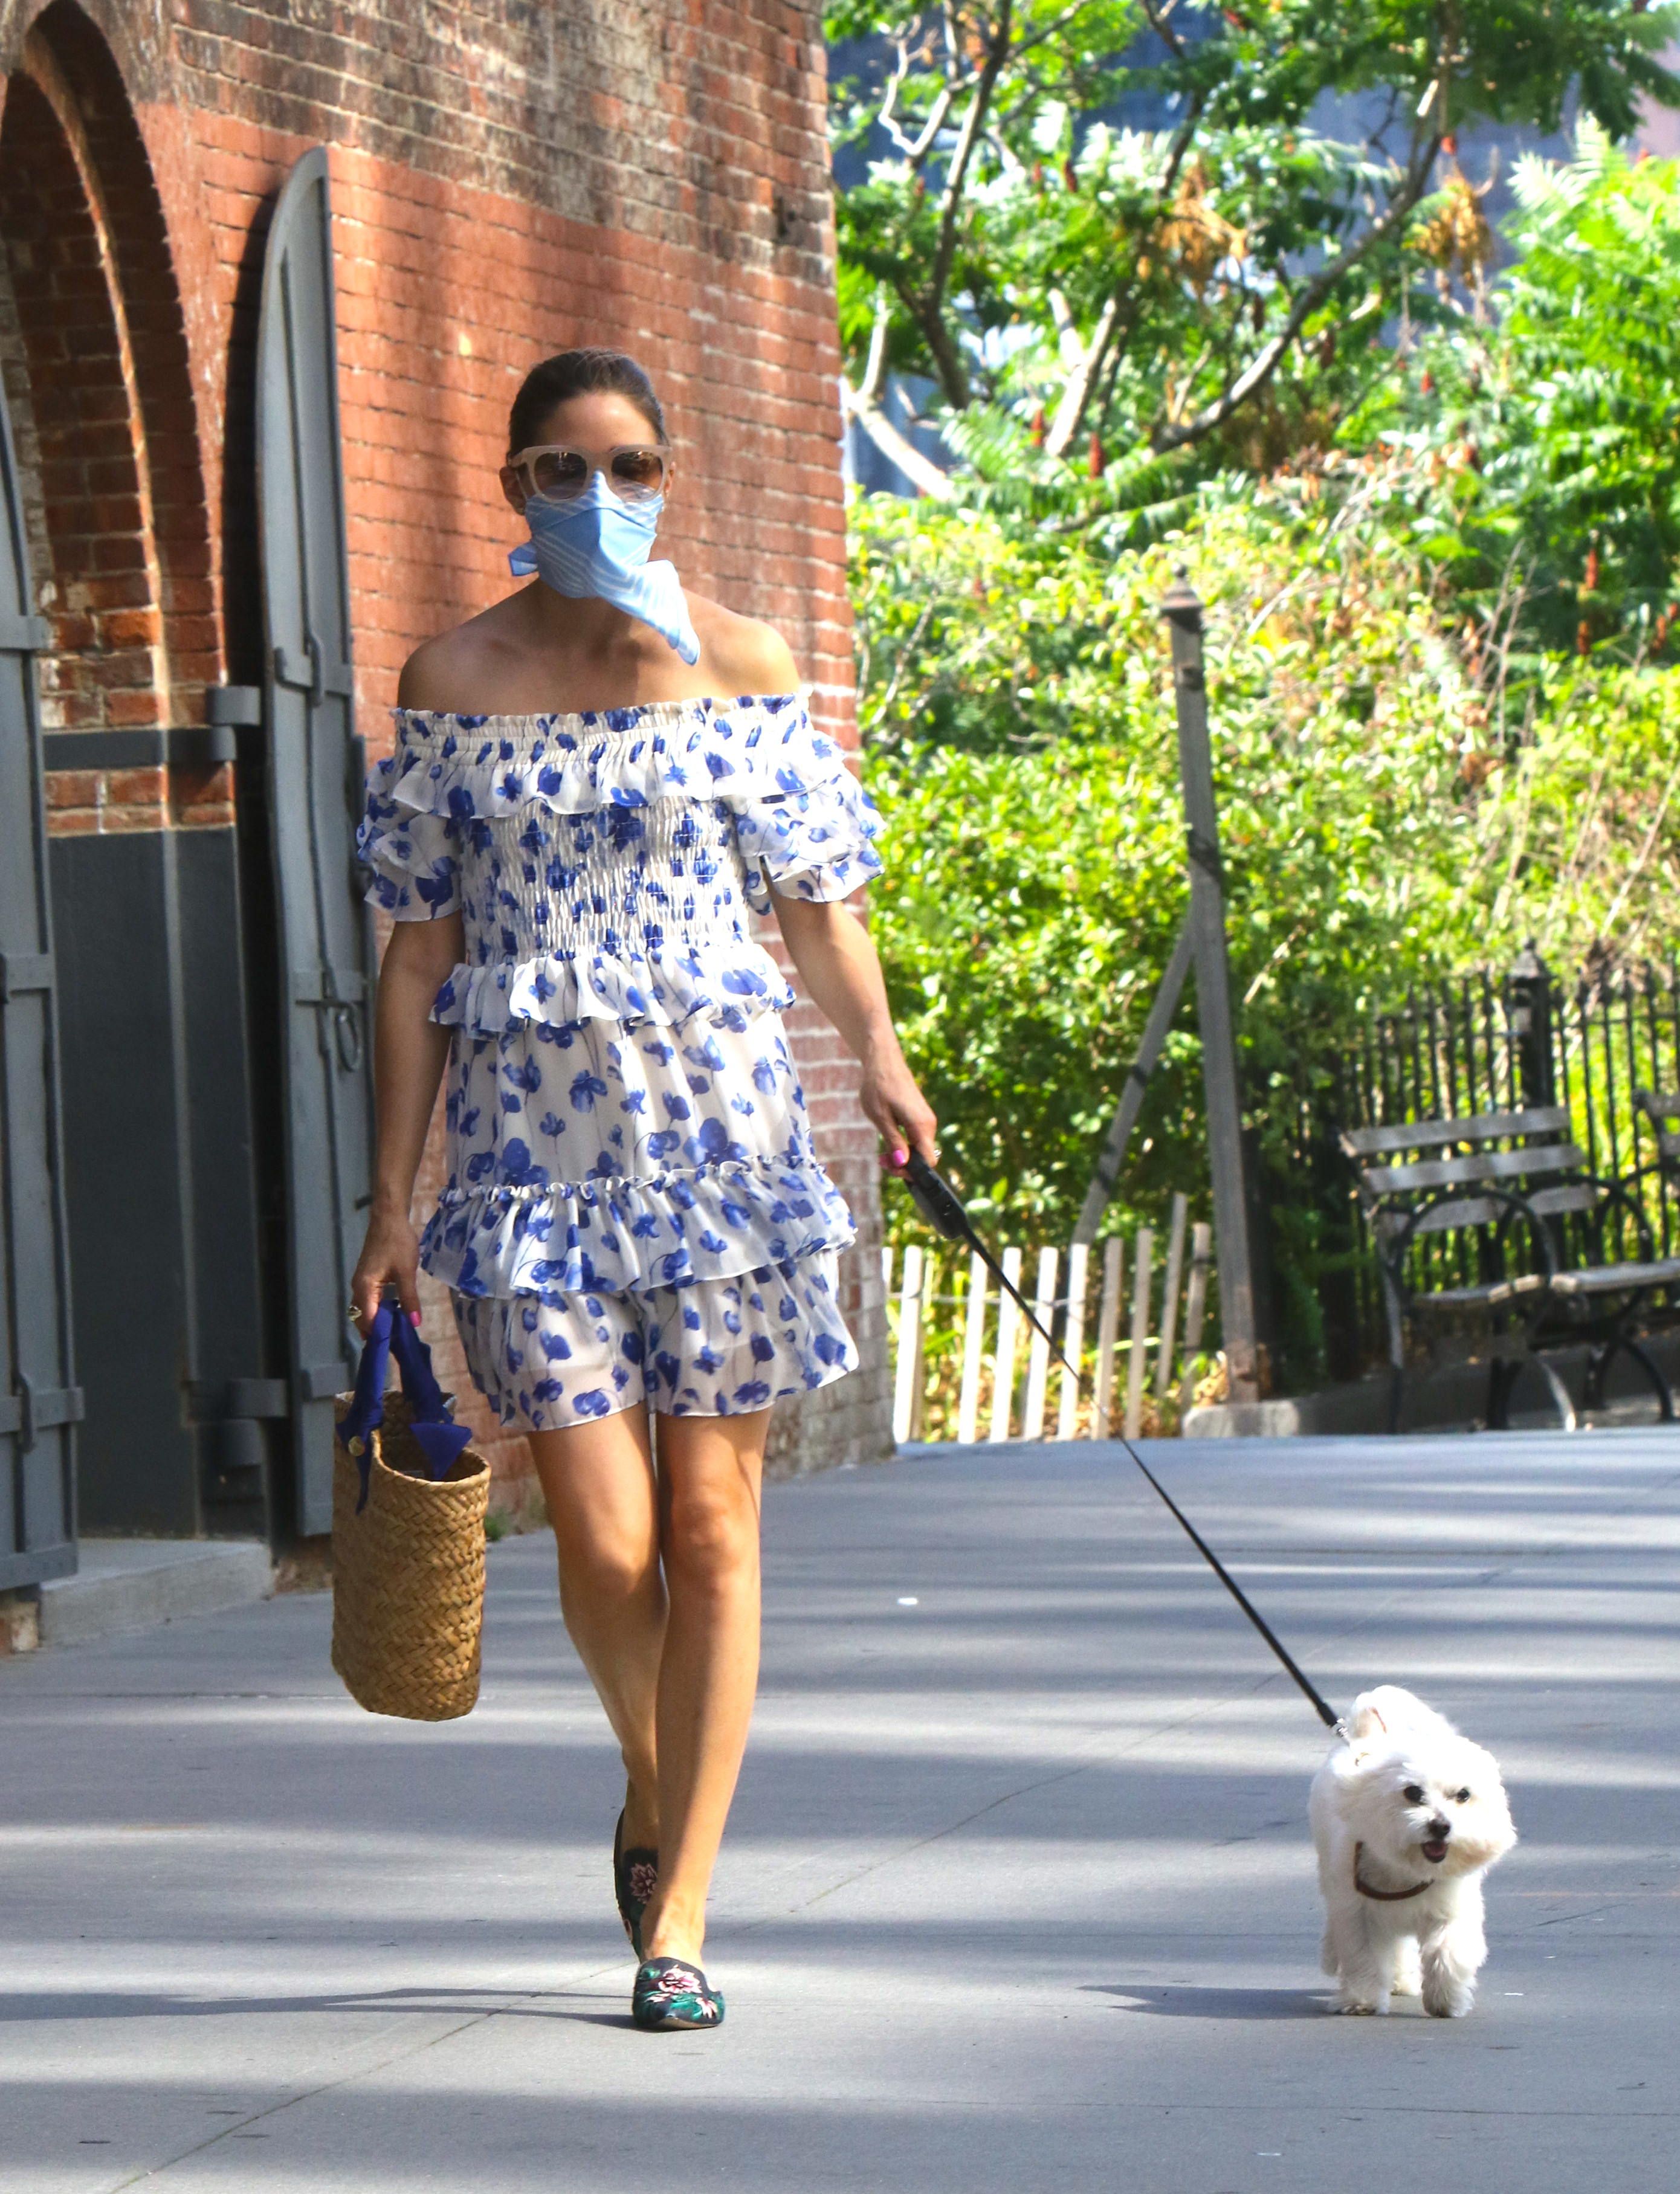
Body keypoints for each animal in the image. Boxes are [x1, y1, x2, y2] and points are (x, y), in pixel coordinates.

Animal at [1316, 1685, 1526, 2009]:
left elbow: (1448, 1952)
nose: (1441, 1826)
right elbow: (1363, 1956)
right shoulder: (1357, 1912)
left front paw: (1446, 1999)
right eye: (1413, 1792)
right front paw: (1363, 1999)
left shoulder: (1451, 1910)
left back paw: (1402, 1982)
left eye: (1463, 1795)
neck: (1407, 1867)